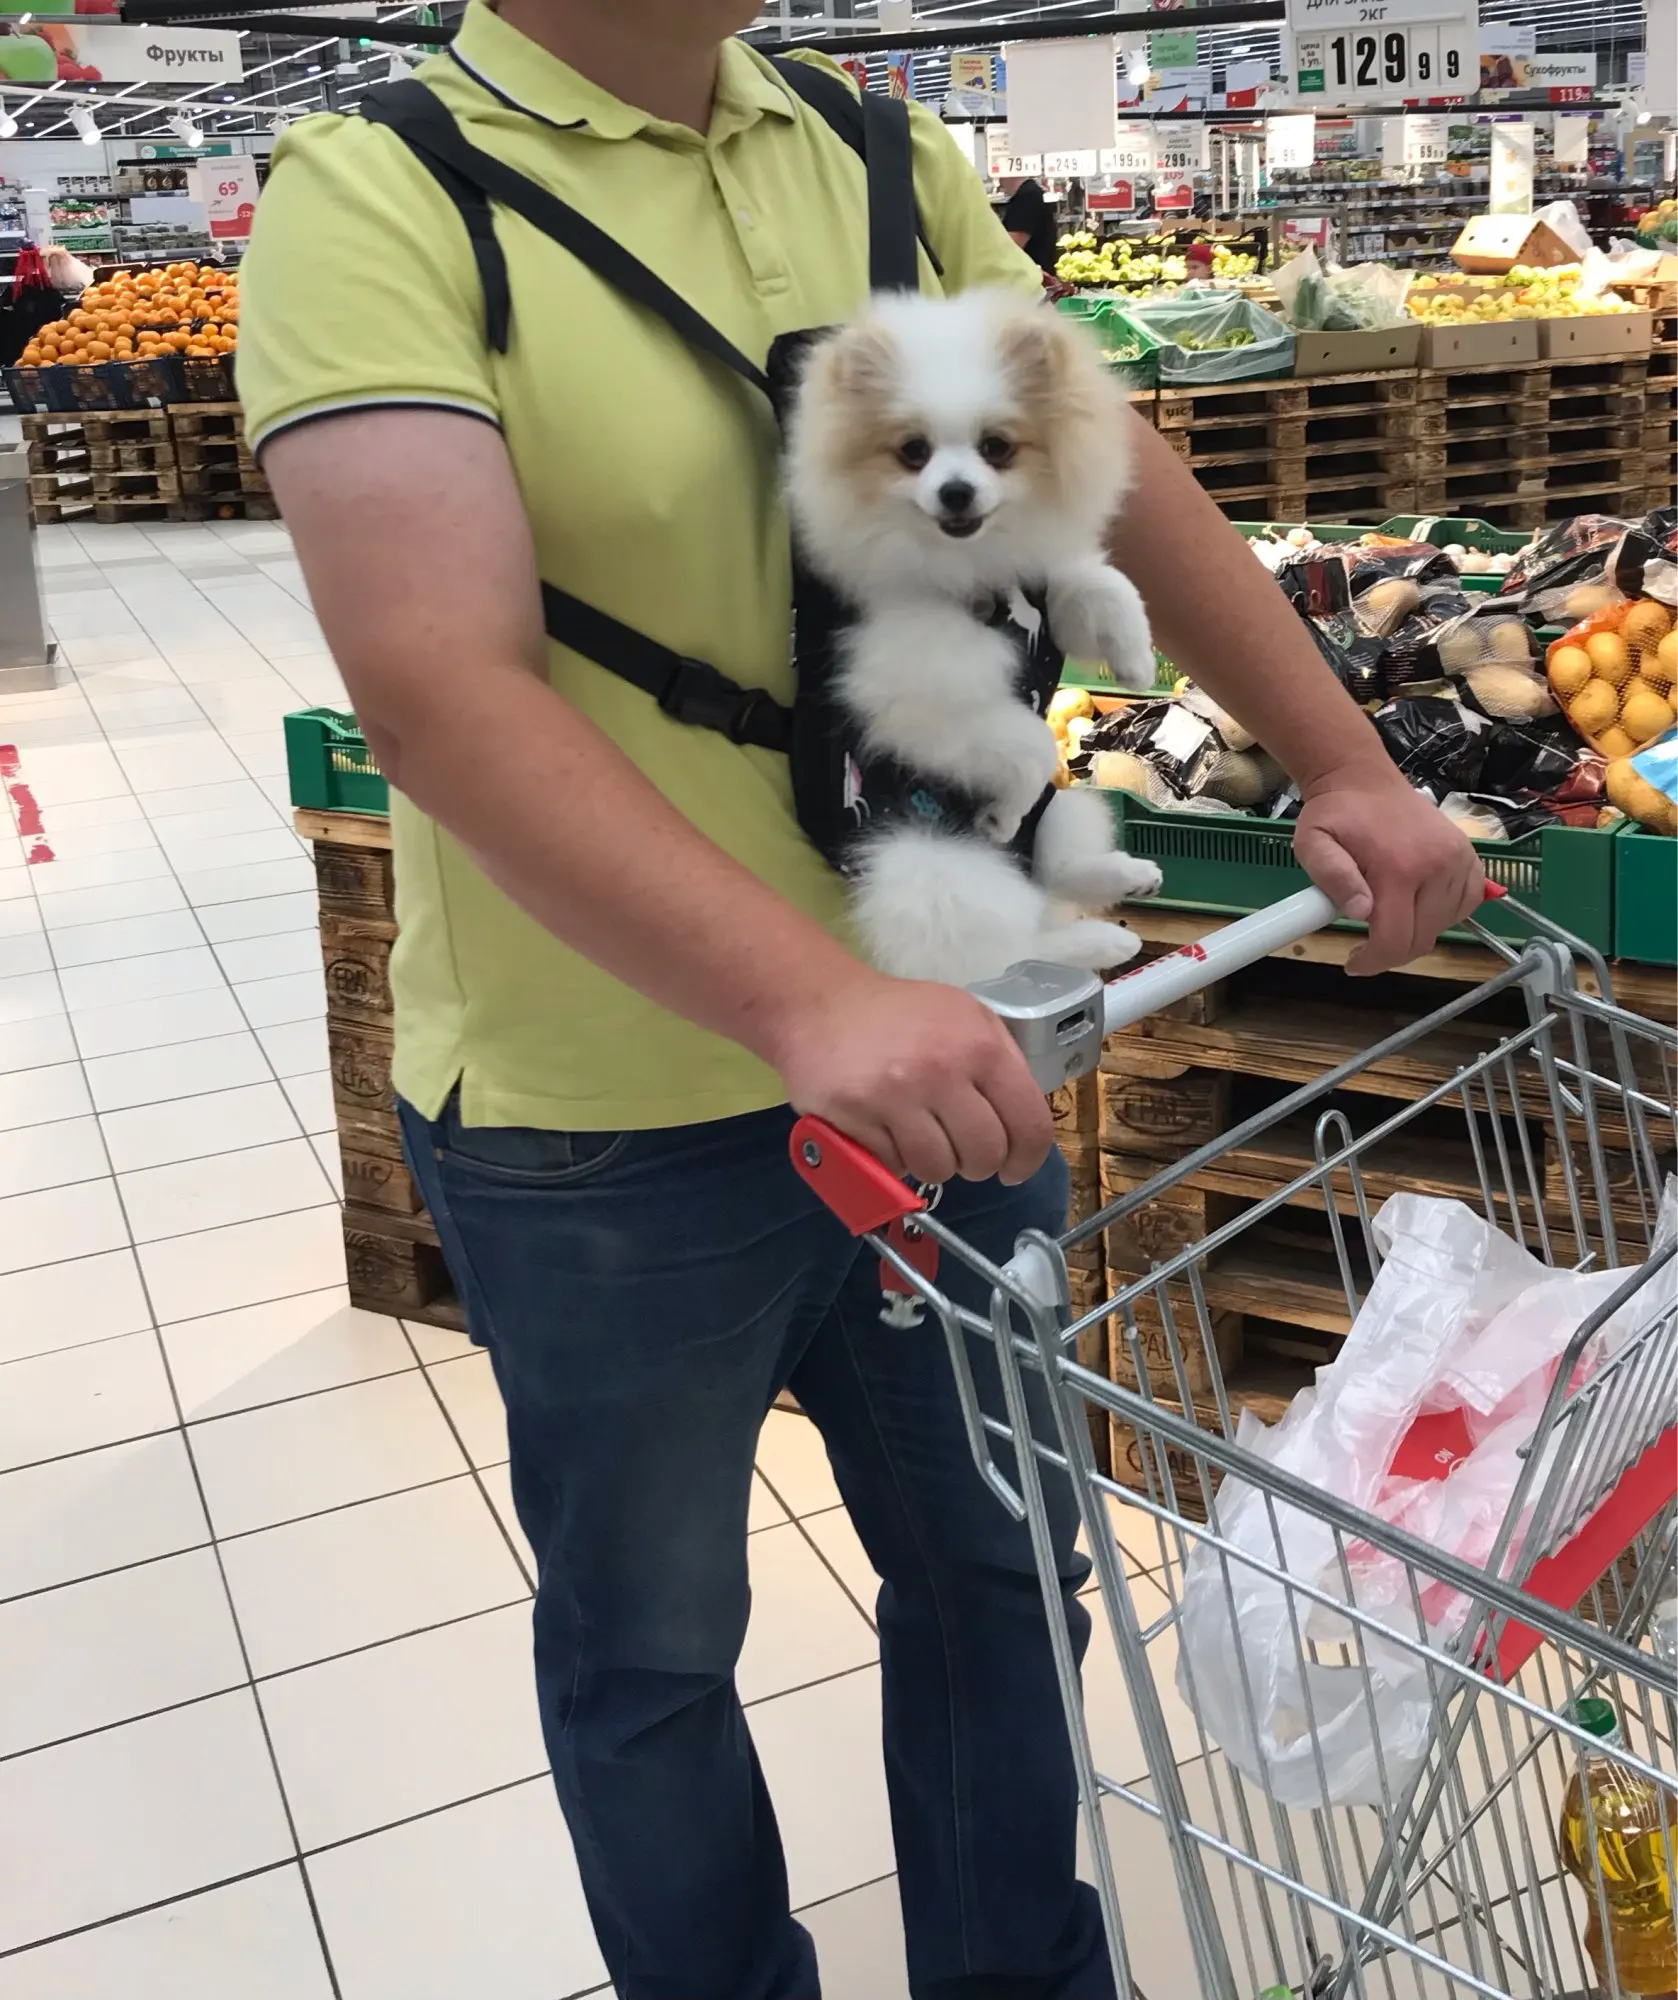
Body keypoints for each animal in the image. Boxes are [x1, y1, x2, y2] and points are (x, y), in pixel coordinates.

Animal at [784, 286, 1163, 988]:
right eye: (913, 451)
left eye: (997, 447)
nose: (956, 491)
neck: (975, 574)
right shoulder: (920, 705)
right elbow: (1026, 745)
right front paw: (1001, 810)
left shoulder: (1042, 589)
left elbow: (1102, 585)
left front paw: (1135, 662)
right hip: (936, 876)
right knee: (1004, 956)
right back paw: (1093, 941)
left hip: (1071, 806)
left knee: (1054, 874)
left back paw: (1123, 886)